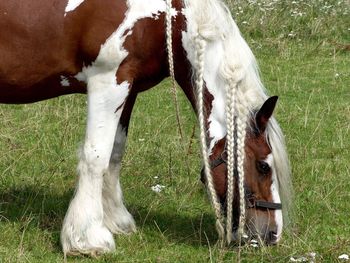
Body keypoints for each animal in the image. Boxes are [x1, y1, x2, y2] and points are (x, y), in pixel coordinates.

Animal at [0, 0, 292, 258]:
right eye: (263, 166)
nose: (272, 234)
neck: (165, 19)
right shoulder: (108, 81)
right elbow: (96, 157)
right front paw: (87, 239)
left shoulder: (128, 87)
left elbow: (115, 153)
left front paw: (116, 220)